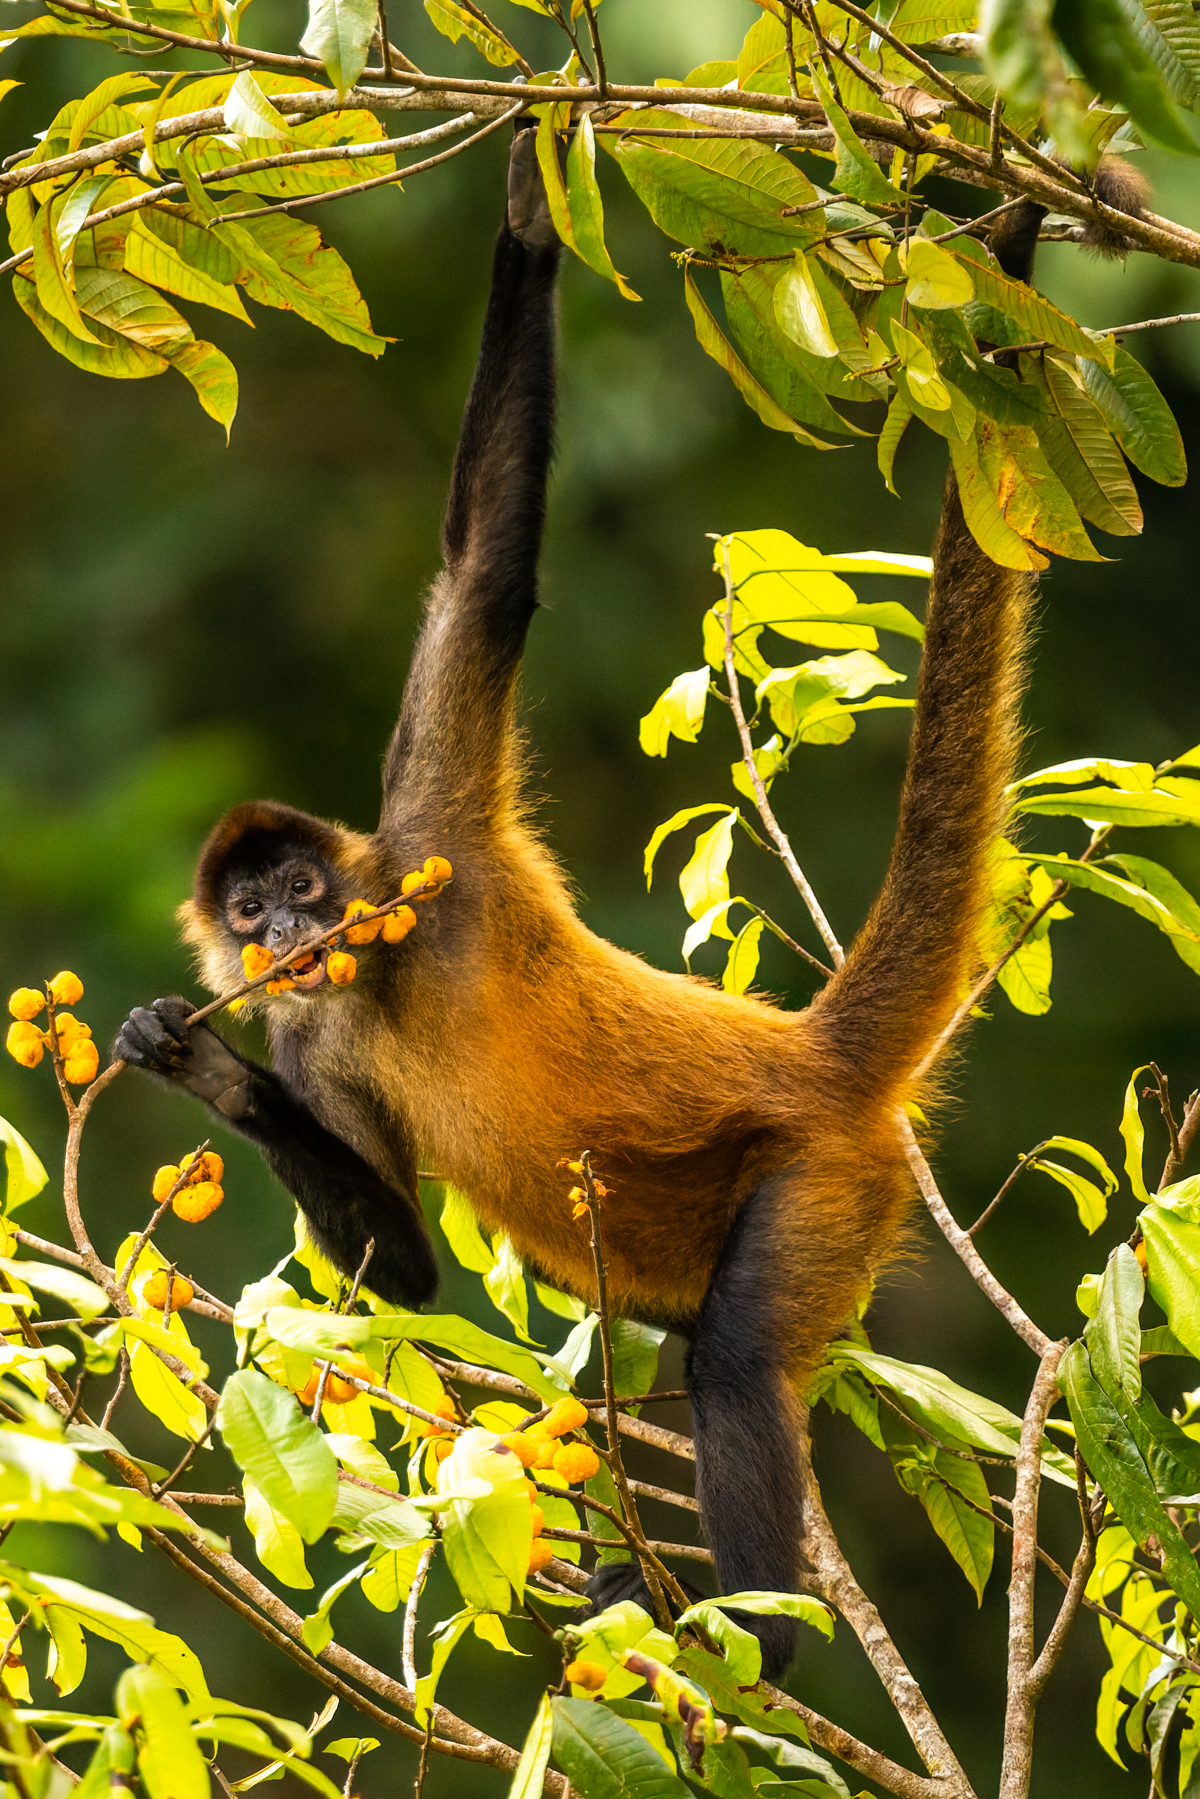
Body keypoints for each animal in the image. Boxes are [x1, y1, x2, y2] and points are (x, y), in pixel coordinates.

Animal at [117, 123, 1041, 1679]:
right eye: (250, 922)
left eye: (303, 886)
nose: (293, 936)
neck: (382, 969)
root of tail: (813, 1051)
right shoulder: (311, 1026)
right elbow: (405, 1270)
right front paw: (192, 1064)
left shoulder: (434, 836)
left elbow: (484, 571)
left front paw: (529, 218)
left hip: (823, 1169)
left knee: (735, 1359)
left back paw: (761, 1648)